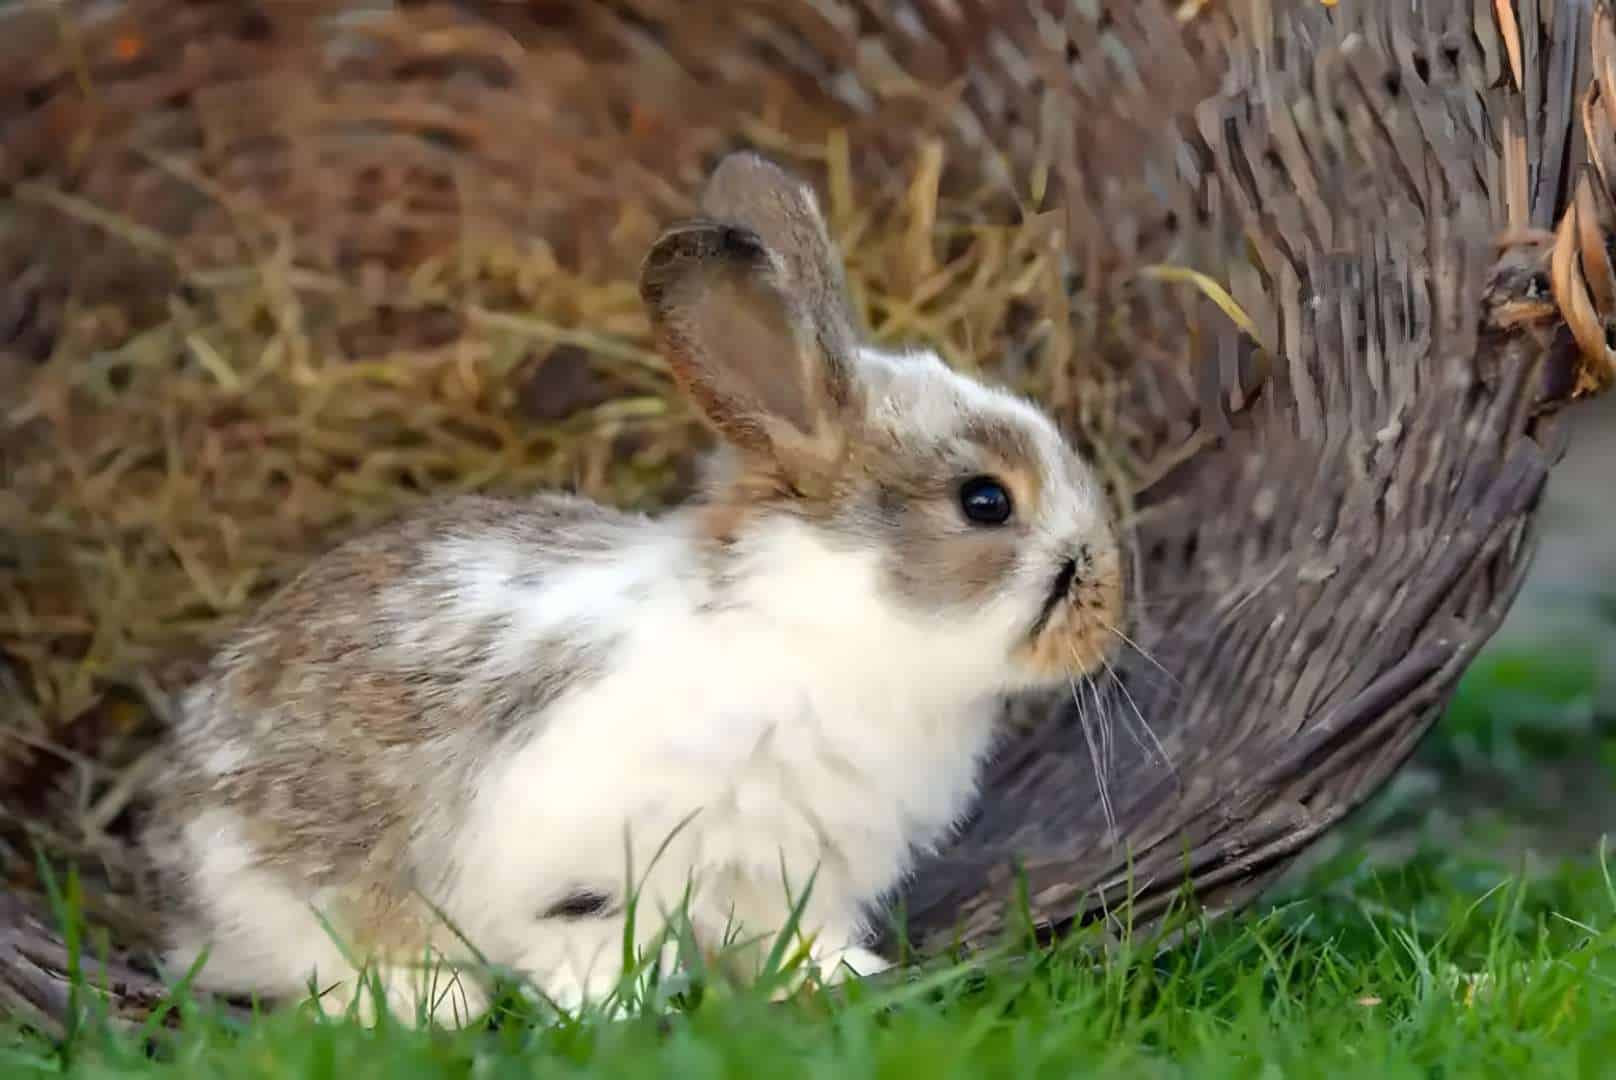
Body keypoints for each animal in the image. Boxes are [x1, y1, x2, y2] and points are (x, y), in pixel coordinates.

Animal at [142, 149, 1124, 1021]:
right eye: (985, 501)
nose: (1109, 609)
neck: (829, 626)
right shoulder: (585, 853)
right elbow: (590, 943)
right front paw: (607, 1013)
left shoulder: (791, 876)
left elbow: (790, 943)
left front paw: (845, 979)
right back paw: (433, 1005)